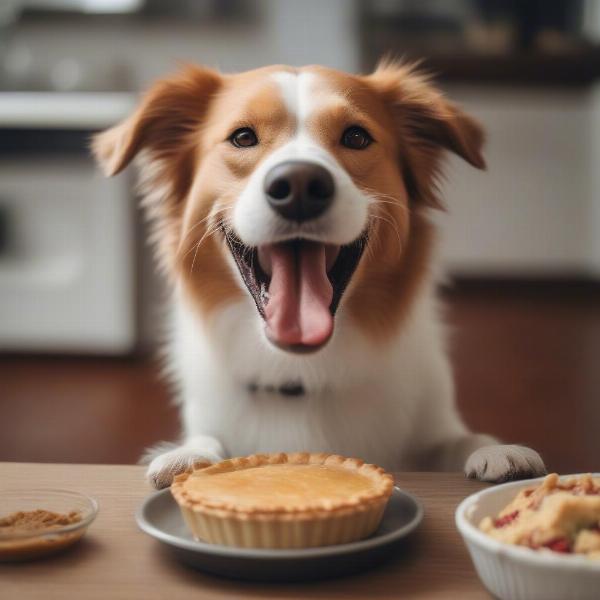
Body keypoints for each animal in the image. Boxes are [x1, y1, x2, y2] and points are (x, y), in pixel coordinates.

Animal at [91, 59, 548, 488]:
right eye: (243, 137)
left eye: (356, 137)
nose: (299, 185)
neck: (301, 374)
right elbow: (208, 439)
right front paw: (188, 455)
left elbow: (455, 440)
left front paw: (500, 452)